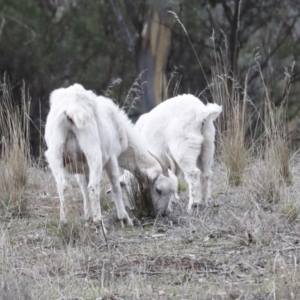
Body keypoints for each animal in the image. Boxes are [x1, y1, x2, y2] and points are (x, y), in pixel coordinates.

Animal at [44, 83, 178, 229]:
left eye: (173, 192)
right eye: (158, 190)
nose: (162, 214)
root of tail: (72, 110)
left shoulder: (82, 167)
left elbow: (83, 187)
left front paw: (88, 218)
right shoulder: (112, 157)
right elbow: (115, 186)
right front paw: (125, 219)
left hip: (55, 152)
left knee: (62, 186)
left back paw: (64, 222)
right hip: (93, 151)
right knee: (93, 187)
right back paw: (100, 224)